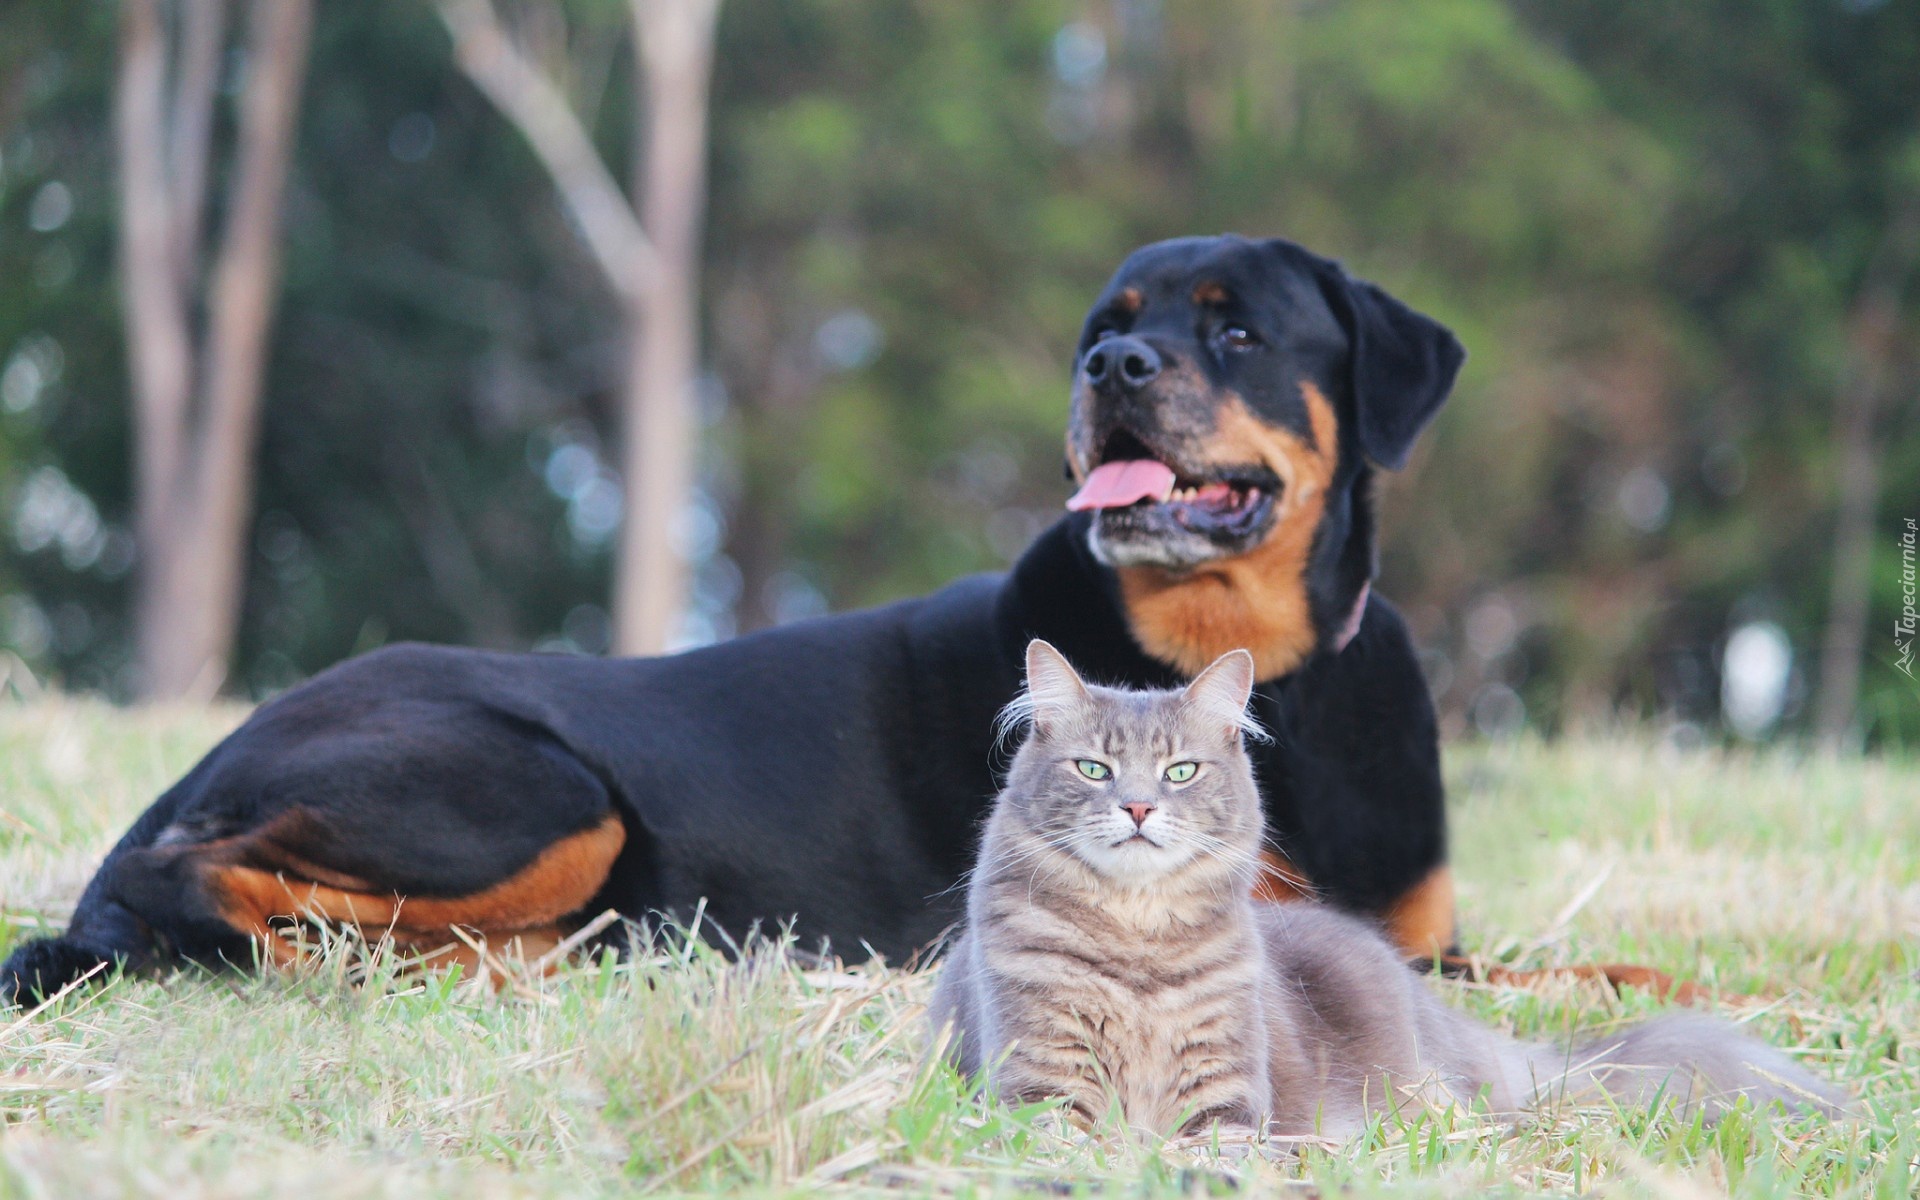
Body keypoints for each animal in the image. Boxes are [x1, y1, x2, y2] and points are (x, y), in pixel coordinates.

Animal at [3, 234, 1451, 998]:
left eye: (1239, 332)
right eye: (1112, 322)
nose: (1112, 365)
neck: (1271, 672)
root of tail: (209, 751)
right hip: (543, 789)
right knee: (191, 881)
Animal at [929, 637, 1843, 1128]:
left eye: (1181, 771)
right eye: (1094, 768)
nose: (1140, 806)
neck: (1137, 941)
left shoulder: (1225, 1094)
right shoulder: (1042, 1081)